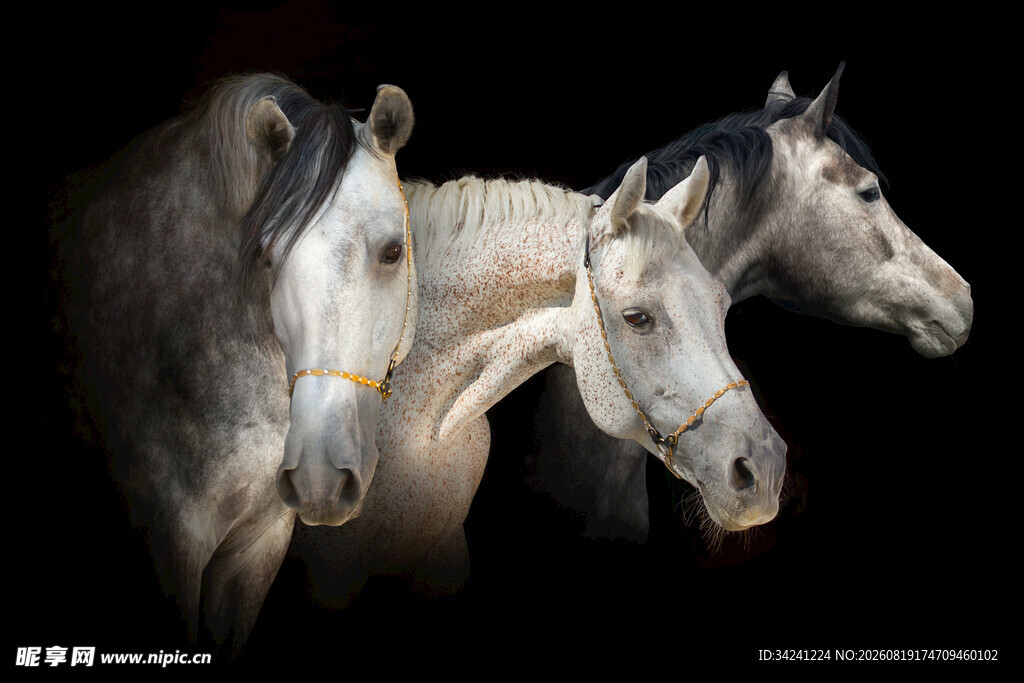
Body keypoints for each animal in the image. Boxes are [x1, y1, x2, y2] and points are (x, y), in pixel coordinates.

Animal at [287, 155, 787, 606]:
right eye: (637, 318)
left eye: (722, 304)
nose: (764, 468)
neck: (414, 430)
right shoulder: (331, 576)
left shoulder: (444, 557)